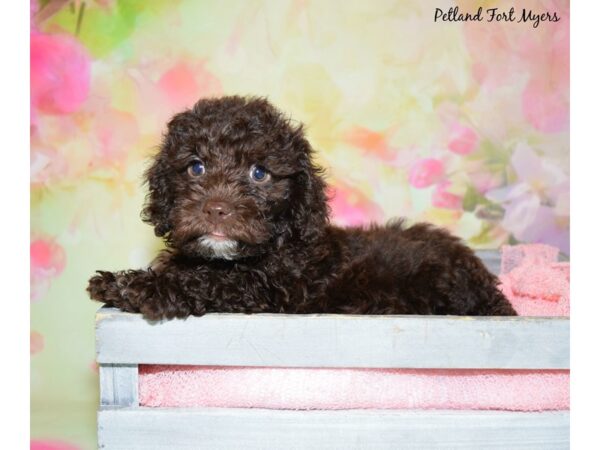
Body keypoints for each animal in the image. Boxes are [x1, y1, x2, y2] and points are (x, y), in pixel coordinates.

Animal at [86, 96, 516, 320]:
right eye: (196, 167)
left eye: (260, 173)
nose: (217, 209)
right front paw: (118, 280)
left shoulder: (271, 291)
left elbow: (211, 282)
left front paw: (142, 287)